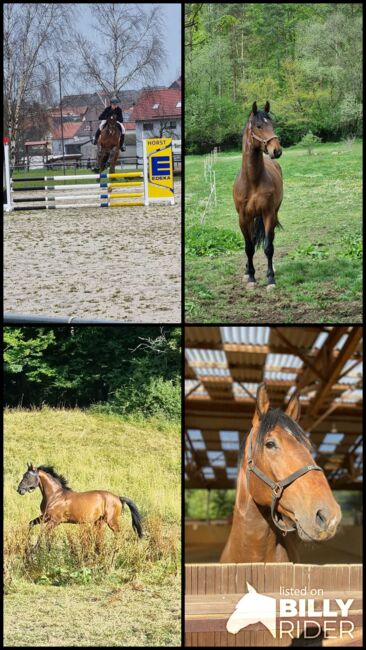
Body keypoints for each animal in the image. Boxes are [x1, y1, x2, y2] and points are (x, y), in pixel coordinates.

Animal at [234, 99, 284, 288]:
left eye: (272, 124)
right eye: (258, 126)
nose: (276, 150)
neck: (253, 181)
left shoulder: (268, 214)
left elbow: (268, 247)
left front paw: (270, 279)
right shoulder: (243, 217)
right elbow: (248, 246)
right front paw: (251, 277)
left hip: (273, 214)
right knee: (253, 241)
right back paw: (248, 271)